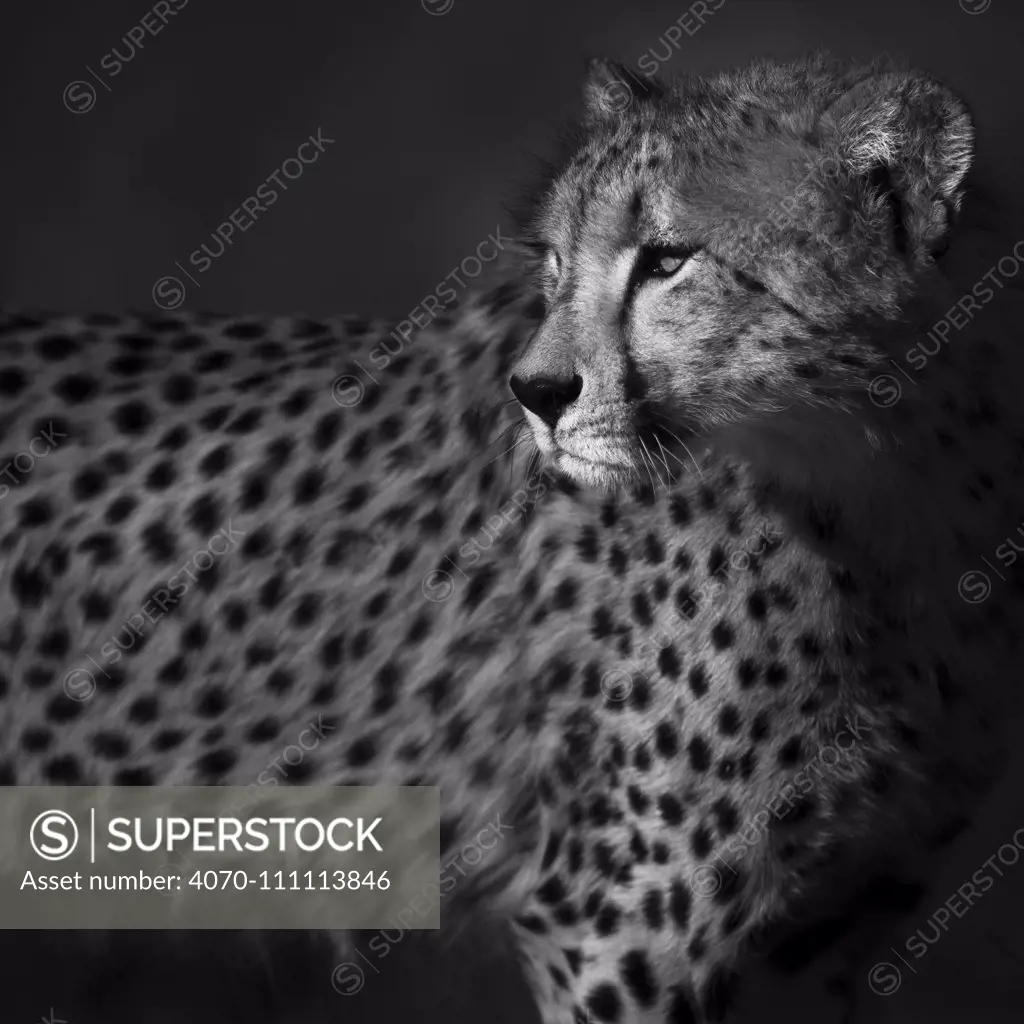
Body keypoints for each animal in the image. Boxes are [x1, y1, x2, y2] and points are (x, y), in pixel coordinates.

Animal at [2, 51, 1024, 1024]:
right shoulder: (619, 933)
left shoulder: (821, 940)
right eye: (557, 262)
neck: (892, 494)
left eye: (667, 260)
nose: (536, 393)